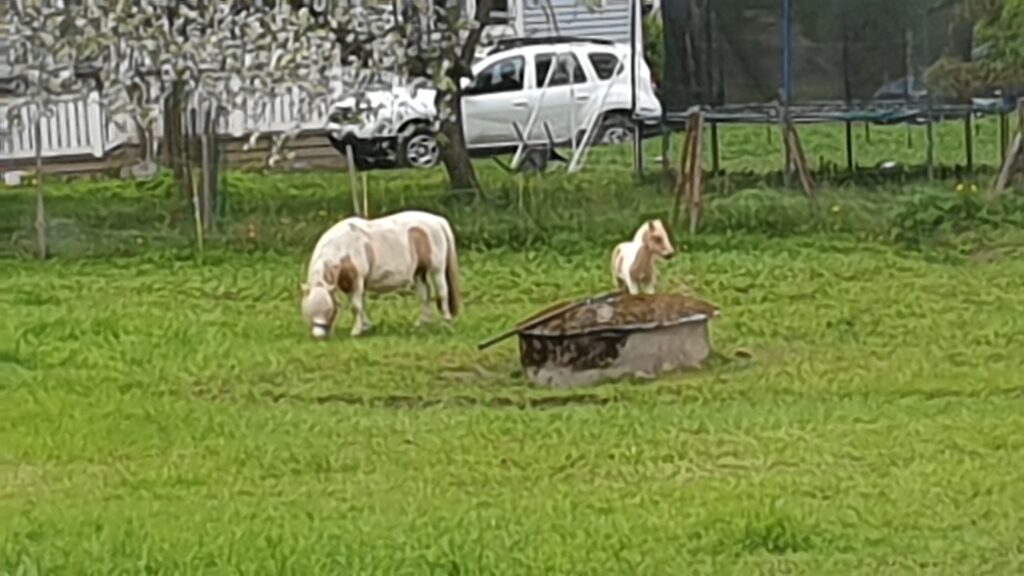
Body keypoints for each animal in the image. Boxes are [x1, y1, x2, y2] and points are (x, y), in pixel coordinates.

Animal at [301, 210, 461, 339]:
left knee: (443, 292)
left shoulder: (357, 280)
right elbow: (361, 305)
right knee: (424, 296)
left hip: (437, 270)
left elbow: (356, 306)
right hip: (419, 272)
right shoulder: (349, 283)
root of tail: (438, 220)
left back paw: (446, 321)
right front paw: (366, 326)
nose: (319, 336)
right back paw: (422, 324)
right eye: (308, 311)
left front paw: (356, 331)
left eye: (329, 311)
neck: (343, 246)